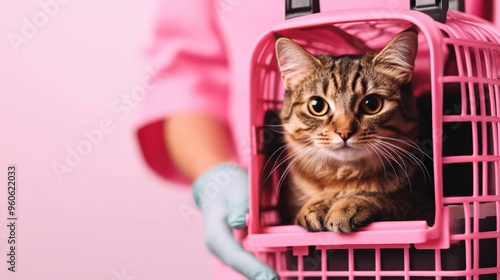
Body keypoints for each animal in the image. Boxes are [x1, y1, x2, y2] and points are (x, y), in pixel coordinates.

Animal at [276, 28, 432, 233]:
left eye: (371, 104)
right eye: (317, 106)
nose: (344, 132)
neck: (344, 177)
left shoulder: (421, 203)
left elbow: (384, 198)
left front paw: (347, 205)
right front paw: (316, 205)